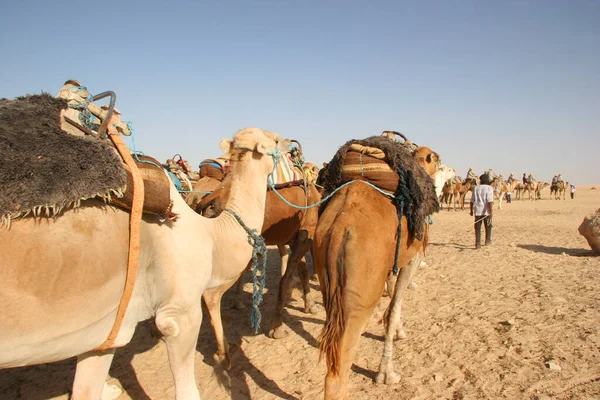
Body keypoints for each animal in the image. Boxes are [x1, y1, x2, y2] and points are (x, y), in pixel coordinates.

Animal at [0, 126, 290, 398]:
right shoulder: (178, 313)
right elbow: (187, 390)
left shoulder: (105, 333)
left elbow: (85, 390)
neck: (211, 234)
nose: (291, 144)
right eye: (275, 139)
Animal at [314, 139, 440, 398]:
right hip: (360, 292)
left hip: (325, 272)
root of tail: (341, 226)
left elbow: (391, 296)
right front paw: (387, 374)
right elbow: (394, 308)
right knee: (338, 370)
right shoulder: (411, 258)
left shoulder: (391, 262)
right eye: (437, 159)